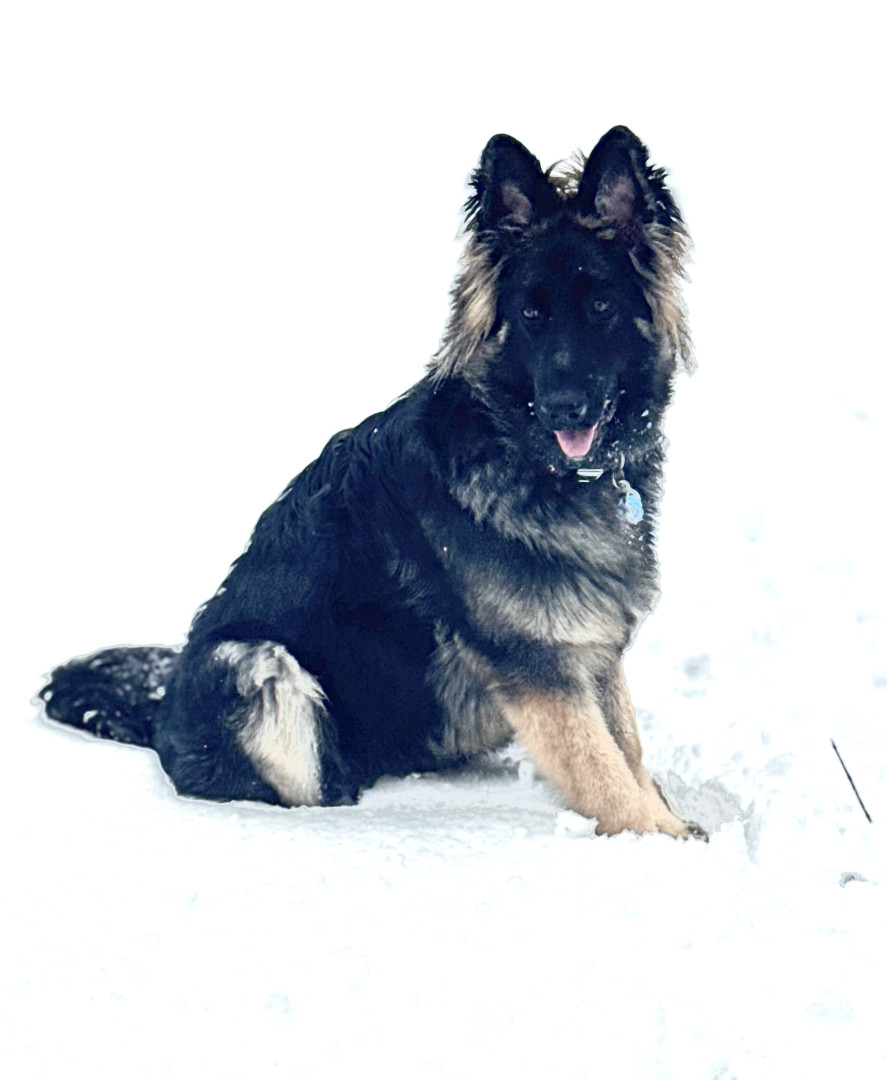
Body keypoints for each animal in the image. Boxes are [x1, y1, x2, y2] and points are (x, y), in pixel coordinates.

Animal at [42, 126, 703, 838]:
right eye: (530, 316)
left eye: (601, 308)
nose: (563, 409)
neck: (518, 449)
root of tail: (161, 710)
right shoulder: (535, 661)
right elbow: (600, 766)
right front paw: (663, 839)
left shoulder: (588, 641)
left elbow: (626, 746)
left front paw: (667, 814)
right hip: (254, 660)